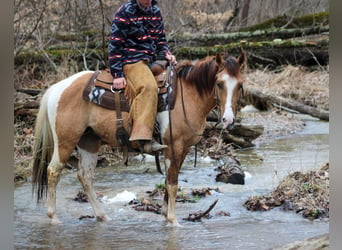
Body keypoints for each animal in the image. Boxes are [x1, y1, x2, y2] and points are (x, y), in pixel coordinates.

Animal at [32, 52, 244, 225]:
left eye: (240, 85)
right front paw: (173, 221)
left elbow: (169, 180)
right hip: (65, 141)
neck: (188, 96)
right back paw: (53, 217)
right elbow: (172, 184)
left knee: (85, 176)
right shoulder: (173, 145)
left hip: (89, 141)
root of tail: (57, 88)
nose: (228, 119)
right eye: (219, 84)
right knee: (53, 171)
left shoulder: (183, 149)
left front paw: (165, 215)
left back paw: (102, 216)